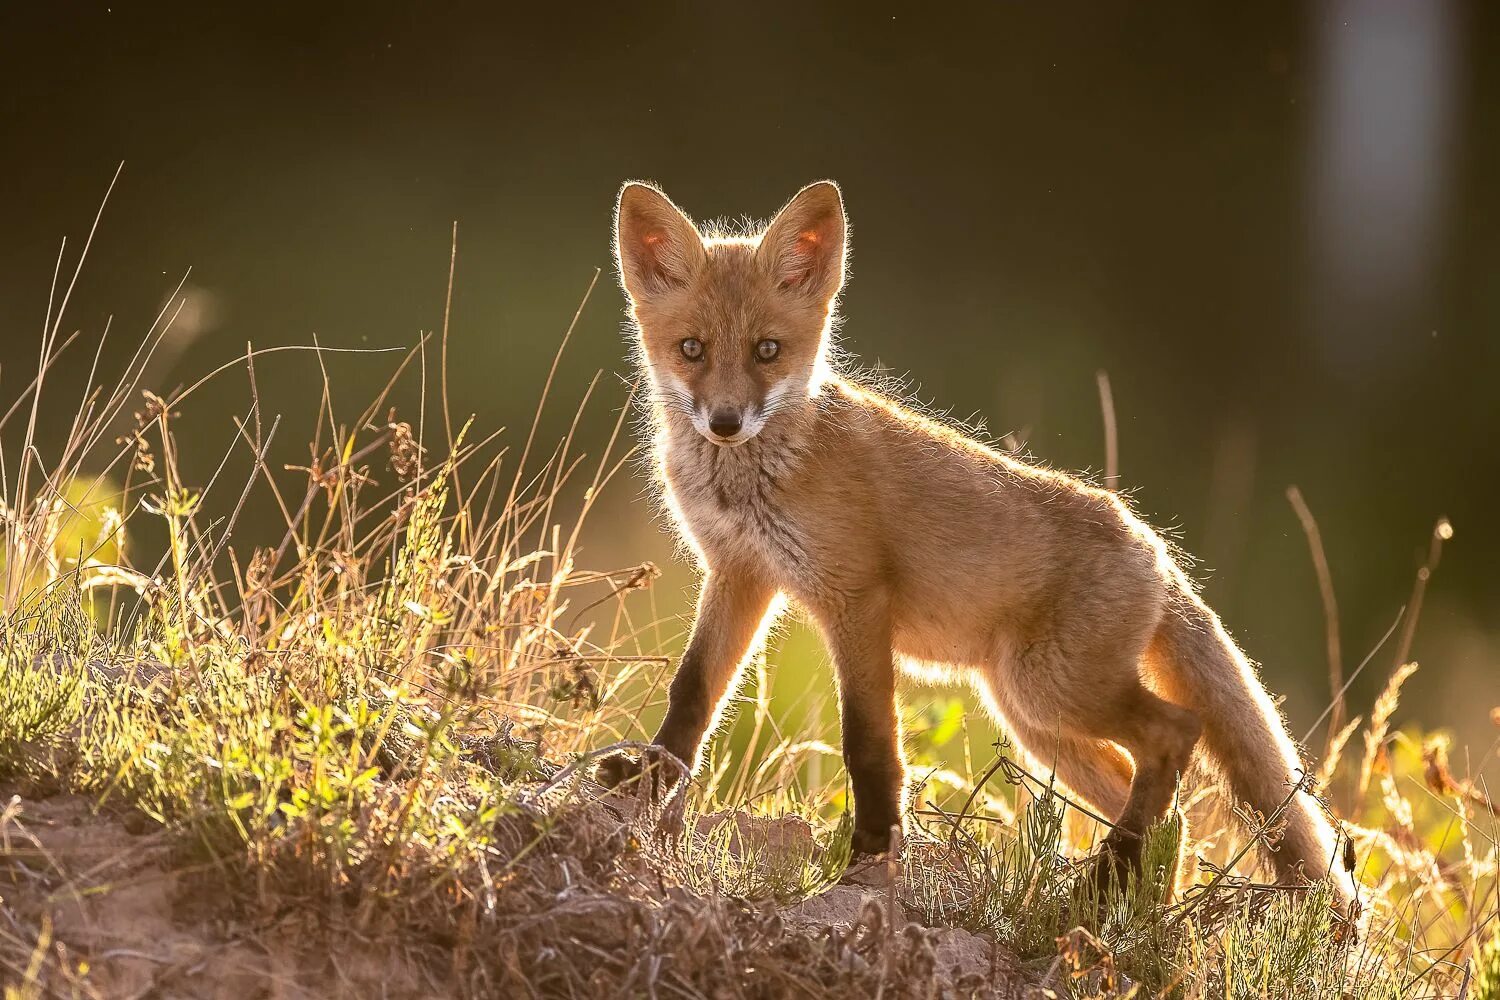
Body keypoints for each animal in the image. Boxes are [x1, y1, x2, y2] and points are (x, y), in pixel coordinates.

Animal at [597, 176, 1362, 911]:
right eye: (692, 349)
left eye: (767, 351)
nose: (726, 422)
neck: (754, 480)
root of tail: (1154, 544)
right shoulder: (741, 572)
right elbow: (692, 695)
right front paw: (642, 783)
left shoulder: (855, 596)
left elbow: (869, 743)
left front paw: (872, 855)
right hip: (1039, 720)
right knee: (1167, 807)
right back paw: (1132, 900)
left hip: (1053, 690)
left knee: (1178, 731)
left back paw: (1112, 877)